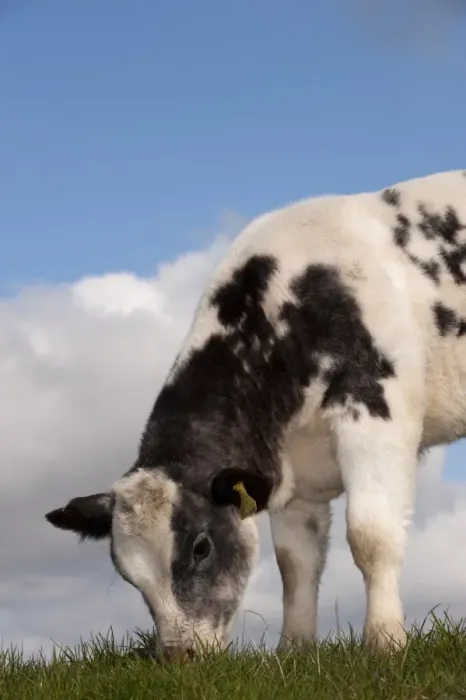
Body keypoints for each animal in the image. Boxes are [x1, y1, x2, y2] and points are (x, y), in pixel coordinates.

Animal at [45, 169, 466, 658]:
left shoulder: (376, 411)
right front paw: (295, 651)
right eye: (128, 574)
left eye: (201, 547)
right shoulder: (293, 479)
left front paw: (384, 642)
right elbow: (295, 563)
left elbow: (371, 535)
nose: (179, 655)